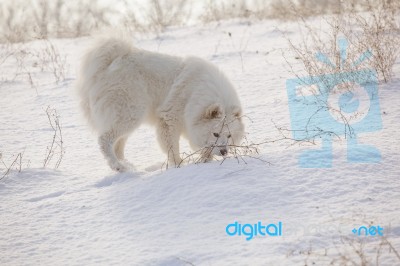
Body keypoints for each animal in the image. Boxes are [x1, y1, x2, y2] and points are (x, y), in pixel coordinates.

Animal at [75, 37, 244, 171]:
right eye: (216, 134)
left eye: (229, 135)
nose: (224, 152)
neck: (194, 94)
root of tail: (109, 63)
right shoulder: (169, 119)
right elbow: (172, 147)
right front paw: (179, 165)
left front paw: (204, 160)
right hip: (129, 113)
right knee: (105, 140)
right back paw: (118, 166)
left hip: (128, 119)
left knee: (118, 145)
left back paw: (127, 166)